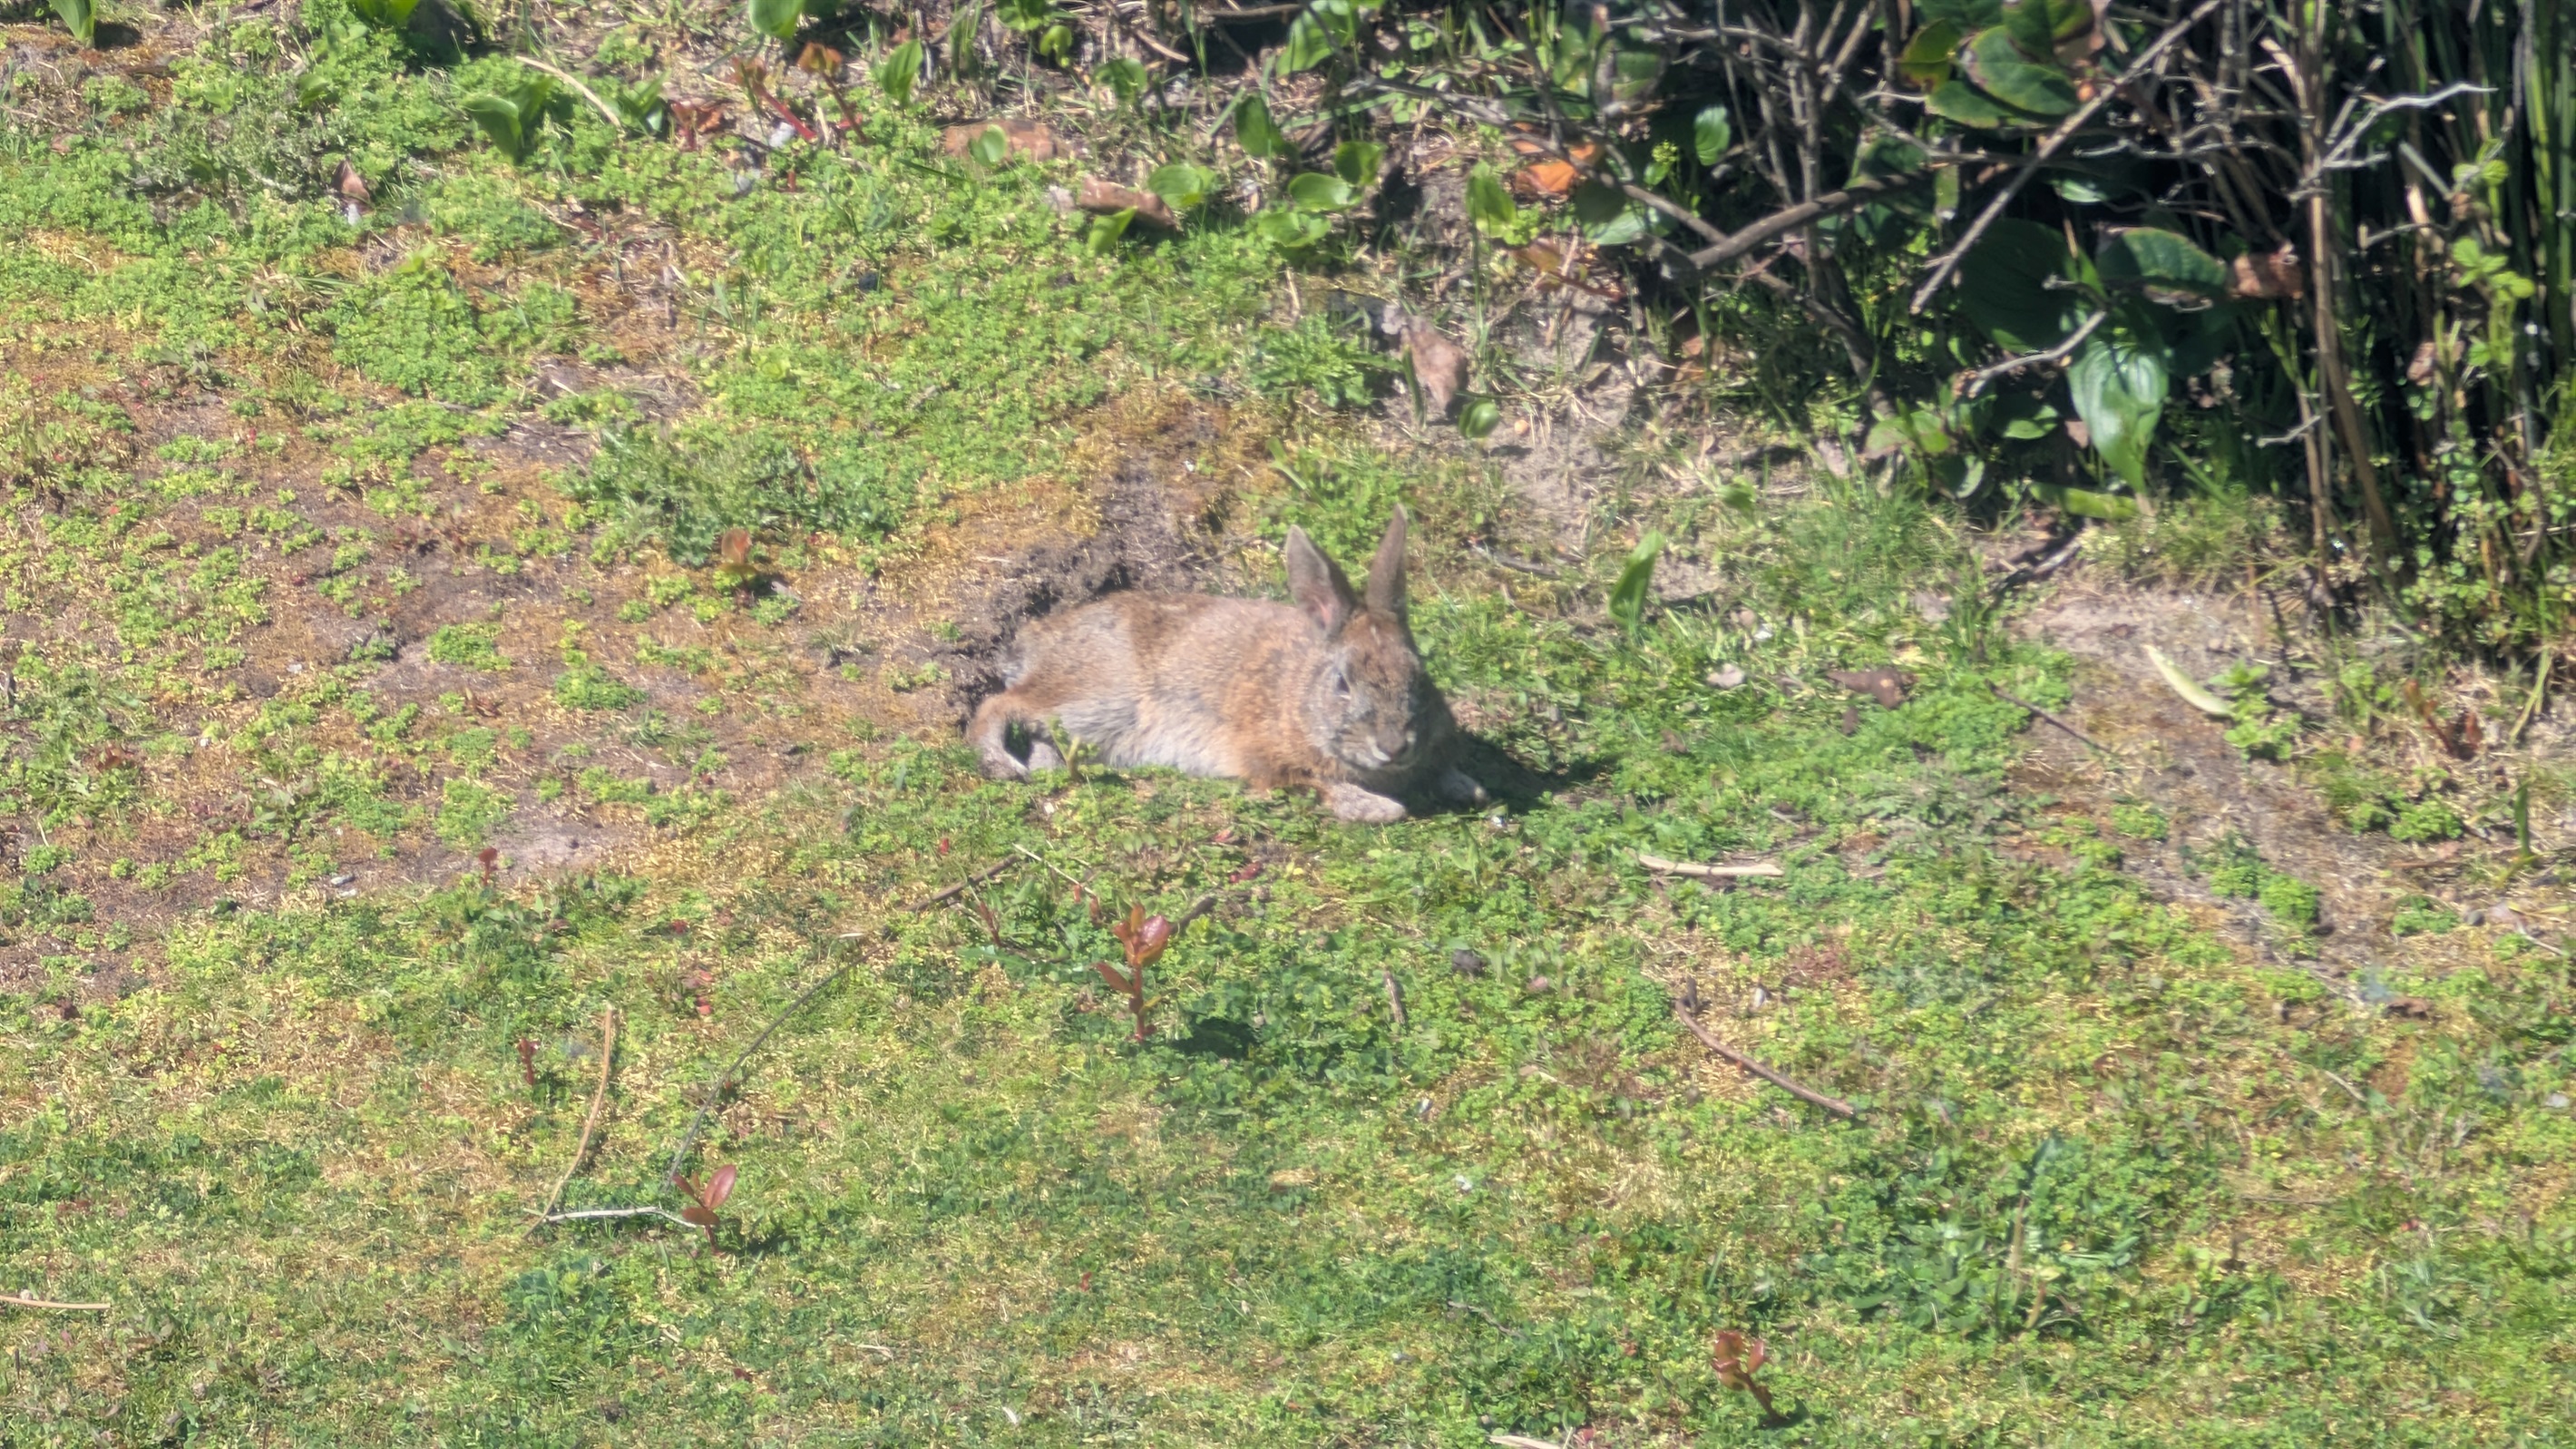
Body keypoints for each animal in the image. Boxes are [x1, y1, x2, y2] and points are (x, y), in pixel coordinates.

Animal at [968, 508, 1485, 822]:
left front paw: (1470, 788)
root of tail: (1035, 641)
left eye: (1418, 675)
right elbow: (1316, 782)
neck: (1299, 694)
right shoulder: (1269, 758)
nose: (1393, 746)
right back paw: (1003, 764)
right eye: (1343, 682)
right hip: (1095, 696)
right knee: (997, 707)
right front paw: (1378, 808)